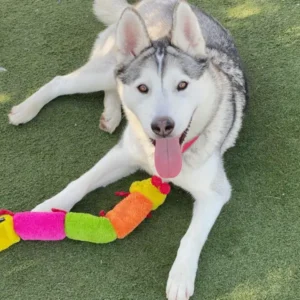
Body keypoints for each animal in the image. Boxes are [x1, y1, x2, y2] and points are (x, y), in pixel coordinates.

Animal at [8, 0, 248, 298]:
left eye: (182, 85)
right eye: (143, 88)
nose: (162, 126)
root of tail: (150, 3)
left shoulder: (215, 192)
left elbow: (191, 236)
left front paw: (180, 276)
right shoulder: (123, 154)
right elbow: (81, 182)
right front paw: (45, 211)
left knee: (111, 89)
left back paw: (110, 115)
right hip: (102, 71)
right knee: (61, 81)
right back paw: (26, 110)